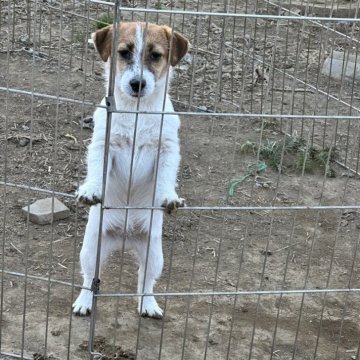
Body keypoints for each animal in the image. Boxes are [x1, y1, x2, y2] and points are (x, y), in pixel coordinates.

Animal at [71, 22, 188, 318]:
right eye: (124, 53)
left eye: (155, 56)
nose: (138, 84)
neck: (137, 113)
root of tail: (124, 237)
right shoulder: (104, 145)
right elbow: (96, 170)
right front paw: (90, 190)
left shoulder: (167, 150)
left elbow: (166, 178)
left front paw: (168, 197)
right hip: (91, 249)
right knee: (89, 278)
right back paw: (84, 302)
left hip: (154, 255)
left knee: (144, 280)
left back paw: (149, 304)